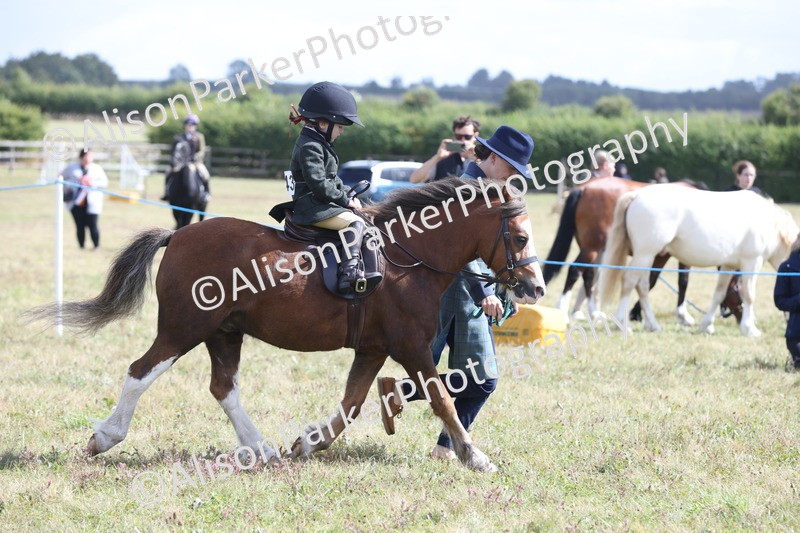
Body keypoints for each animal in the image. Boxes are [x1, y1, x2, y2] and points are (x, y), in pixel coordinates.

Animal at [25, 178, 545, 473]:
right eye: (520, 238)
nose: (536, 288)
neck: (408, 258)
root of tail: (179, 234)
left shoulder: (374, 349)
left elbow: (352, 403)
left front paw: (310, 442)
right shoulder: (411, 347)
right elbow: (442, 399)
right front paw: (475, 457)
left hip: (223, 333)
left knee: (223, 387)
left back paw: (261, 450)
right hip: (183, 329)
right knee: (140, 372)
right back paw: (105, 437)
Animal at [543, 177, 700, 325]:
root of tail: (584, 188)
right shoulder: (665, 255)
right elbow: (674, 280)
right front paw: (682, 316)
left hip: (596, 250)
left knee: (588, 276)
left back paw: (595, 313)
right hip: (591, 249)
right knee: (575, 271)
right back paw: (563, 311)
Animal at [598, 185, 798, 336]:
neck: (770, 224)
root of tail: (637, 195)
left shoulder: (728, 265)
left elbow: (719, 294)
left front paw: (707, 326)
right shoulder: (752, 262)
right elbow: (748, 294)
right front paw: (750, 329)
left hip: (649, 257)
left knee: (643, 286)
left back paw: (653, 325)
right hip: (644, 254)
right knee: (629, 281)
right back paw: (623, 325)